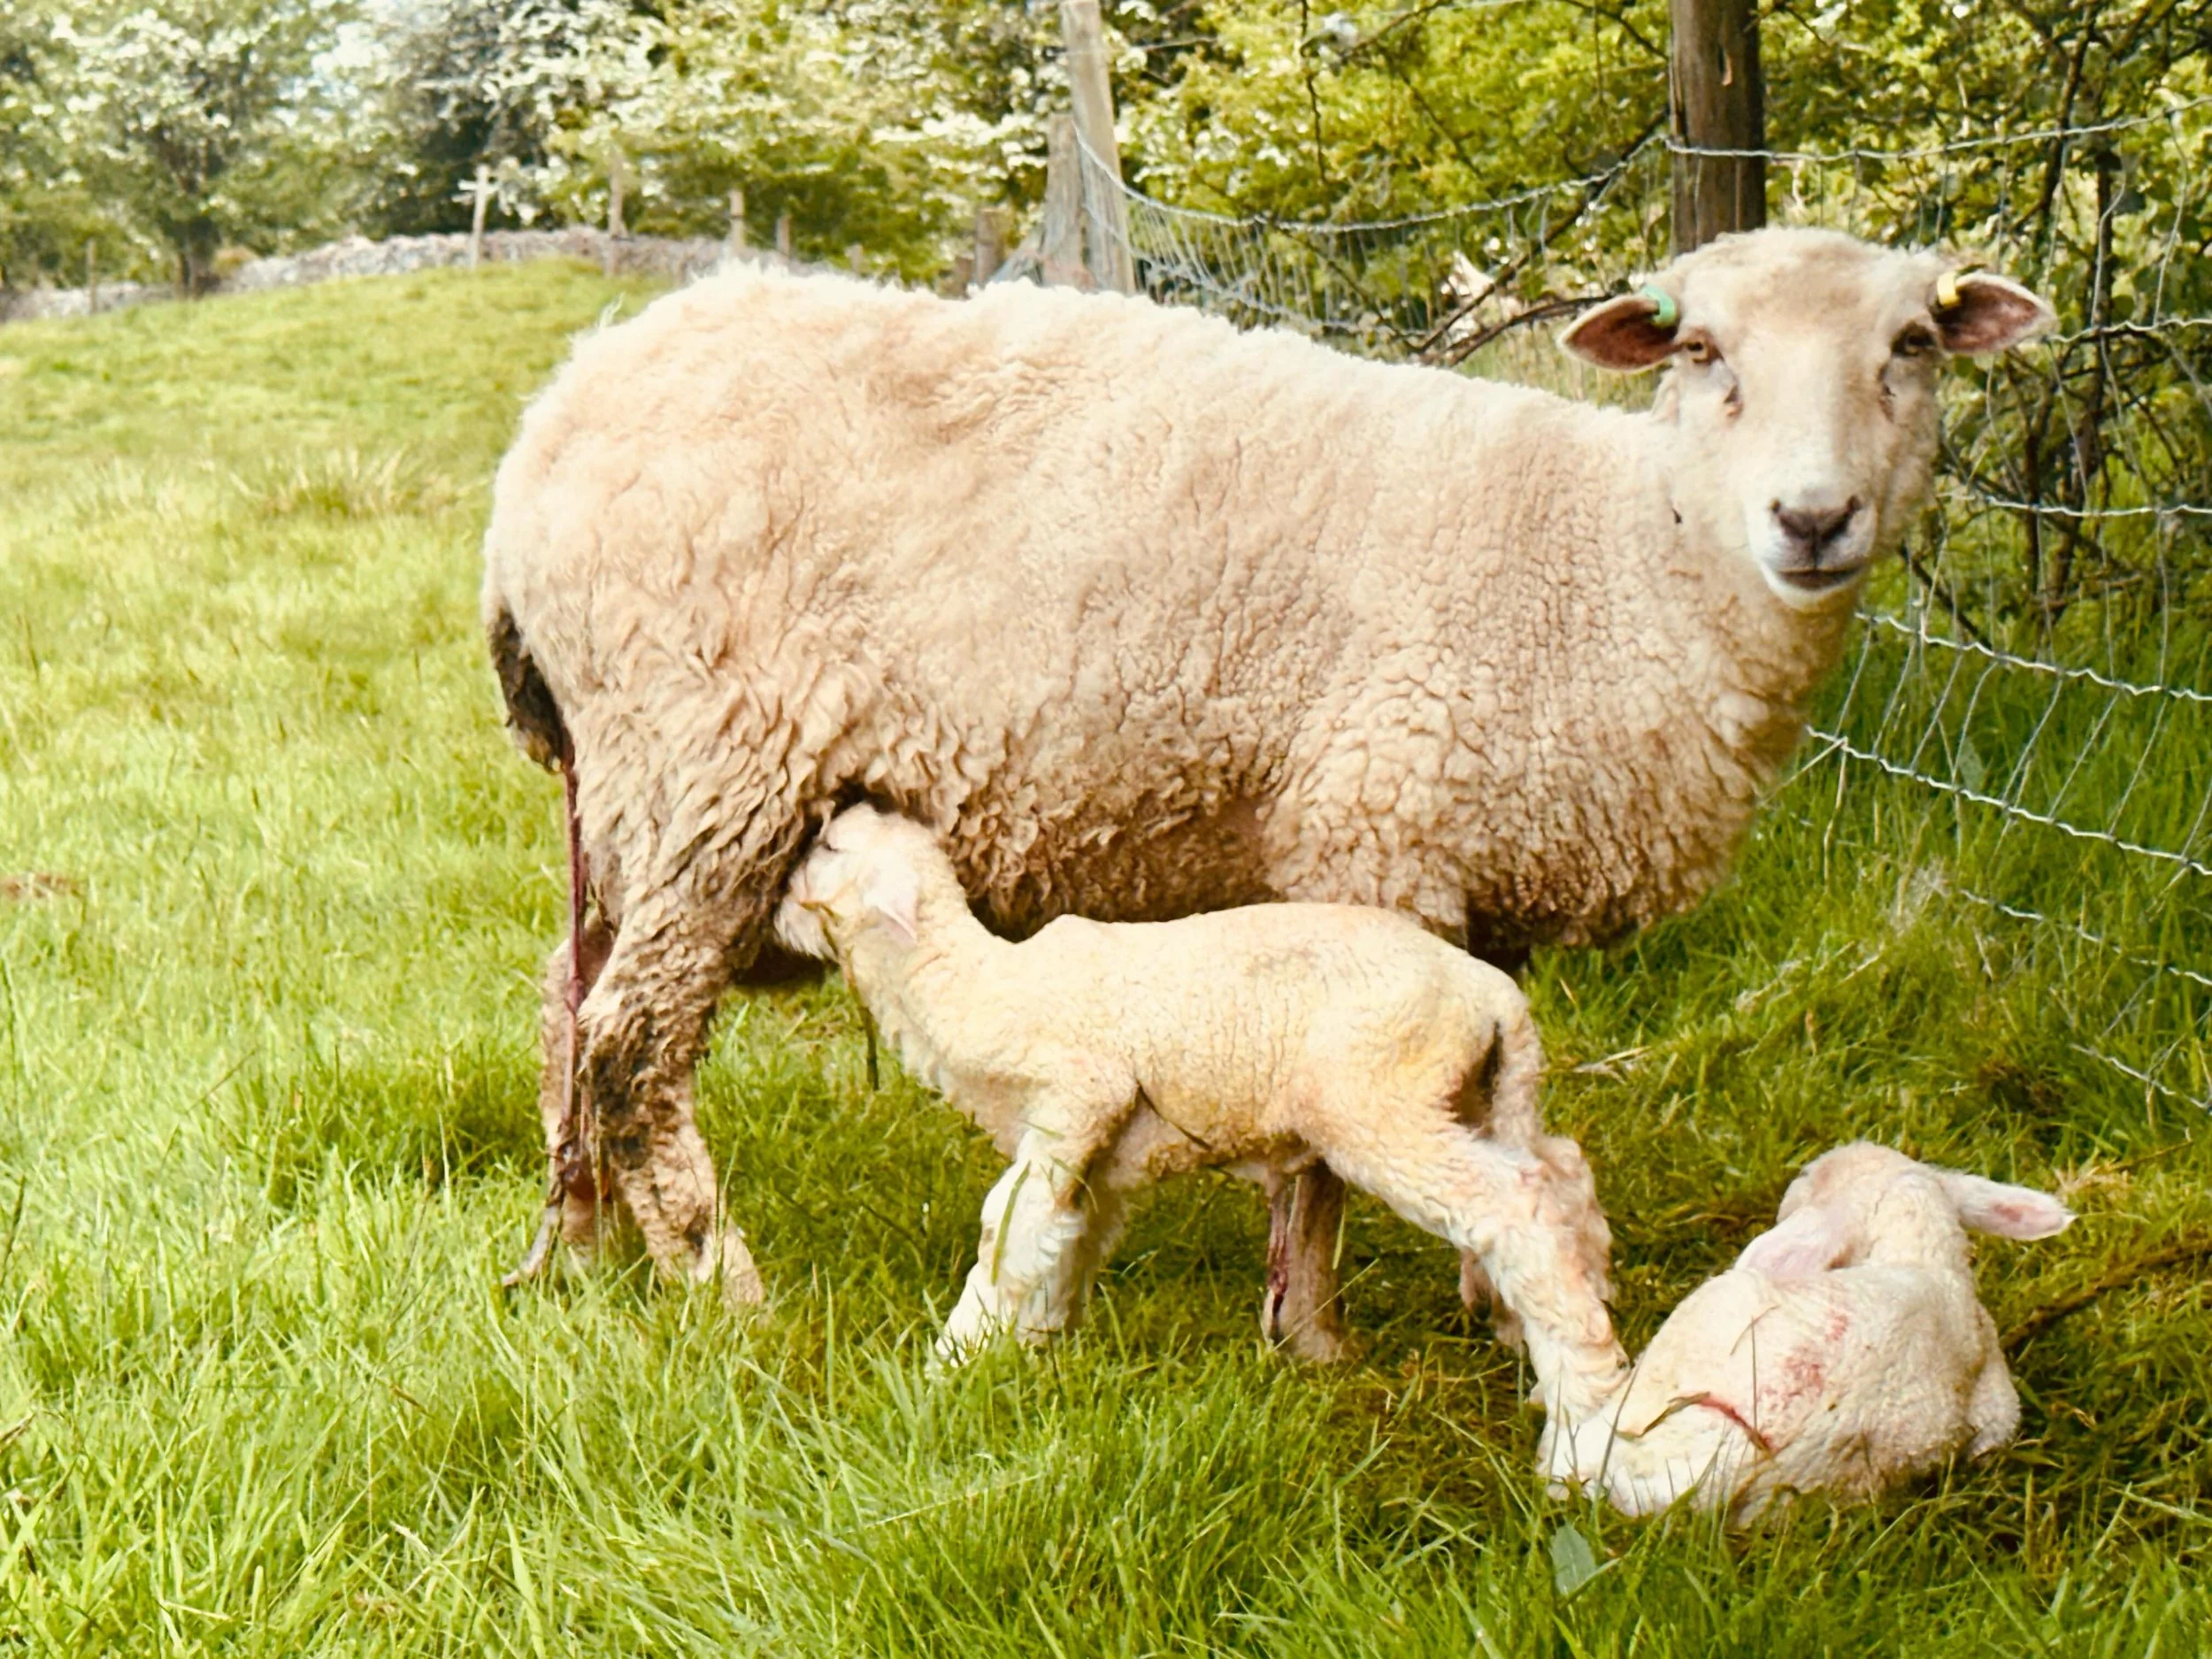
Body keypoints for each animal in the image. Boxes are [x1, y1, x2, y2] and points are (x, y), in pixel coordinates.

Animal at [481, 227, 2055, 1333]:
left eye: (1913, 341)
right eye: (1705, 350)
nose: (1814, 517)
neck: (1619, 558)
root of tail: (544, 434)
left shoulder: (1489, 871)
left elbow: (1503, 1079)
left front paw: (1486, 1295)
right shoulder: (1377, 830)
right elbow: (1330, 1128)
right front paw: (1313, 1331)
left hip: (621, 793)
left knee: (565, 1003)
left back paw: (576, 1249)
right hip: (711, 769)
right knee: (629, 1039)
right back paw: (721, 1287)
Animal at [772, 802, 1626, 1413]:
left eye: (829, 849)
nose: (775, 904)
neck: (970, 985)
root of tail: (1493, 993)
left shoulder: (1079, 1095)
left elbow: (1005, 1225)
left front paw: (950, 1362)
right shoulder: (1095, 1152)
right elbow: (1061, 1236)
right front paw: (1036, 1344)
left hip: (1383, 1100)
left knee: (1516, 1207)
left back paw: (1584, 1401)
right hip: (1471, 1093)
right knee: (1560, 1174)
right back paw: (1564, 1326)